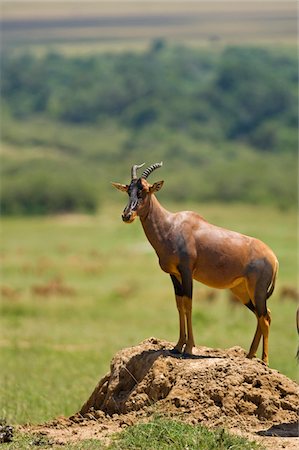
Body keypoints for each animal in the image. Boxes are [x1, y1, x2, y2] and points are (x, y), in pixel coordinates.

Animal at [112, 163, 278, 364]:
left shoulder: (186, 272)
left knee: (265, 318)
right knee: (262, 315)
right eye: (129, 190)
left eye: (144, 190)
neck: (172, 225)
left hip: (258, 290)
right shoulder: (174, 275)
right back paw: (250, 355)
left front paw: (189, 348)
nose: (126, 215)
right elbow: (179, 305)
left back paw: (264, 361)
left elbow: (189, 305)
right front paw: (177, 346)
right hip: (242, 291)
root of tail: (273, 257)